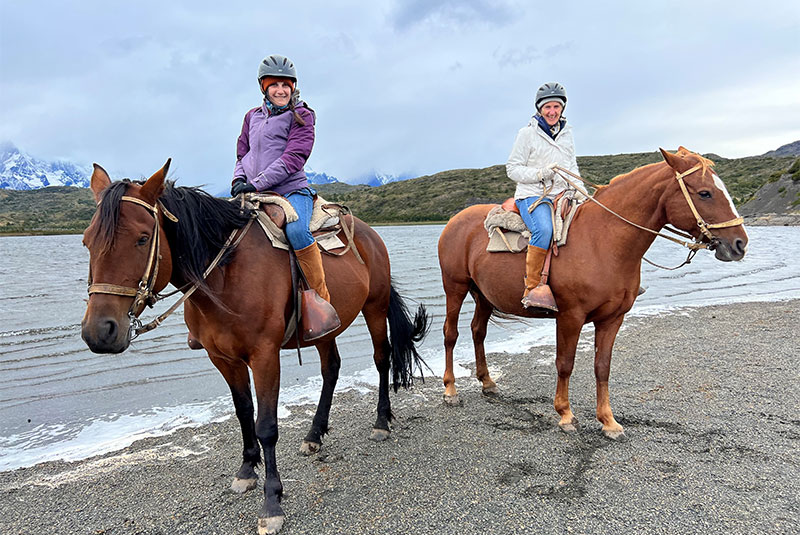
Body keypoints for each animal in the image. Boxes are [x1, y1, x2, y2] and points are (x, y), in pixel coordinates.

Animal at [80, 160, 428, 535]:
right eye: (86, 242)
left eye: (142, 238)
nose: (99, 331)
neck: (226, 275)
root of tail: (369, 234)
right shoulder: (223, 358)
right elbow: (244, 412)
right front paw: (246, 471)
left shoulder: (264, 356)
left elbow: (266, 426)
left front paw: (272, 502)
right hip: (324, 330)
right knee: (331, 369)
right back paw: (315, 434)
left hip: (375, 308)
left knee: (381, 358)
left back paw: (381, 422)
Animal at [434, 148, 748, 440]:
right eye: (705, 193)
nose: (739, 244)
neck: (603, 241)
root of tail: (455, 221)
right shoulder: (570, 317)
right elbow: (565, 364)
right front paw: (565, 415)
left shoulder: (612, 319)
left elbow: (602, 367)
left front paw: (608, 421)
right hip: (455, 287)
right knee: (451, 334)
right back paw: (450, 390)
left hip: (483, 295)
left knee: (478, 332)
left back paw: (487, 383)